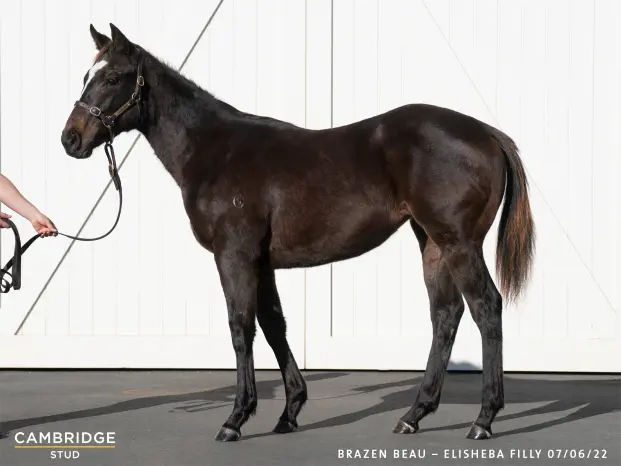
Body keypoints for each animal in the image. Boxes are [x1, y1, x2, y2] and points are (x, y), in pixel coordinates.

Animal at [61, 23, 535, 442]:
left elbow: (241, 328)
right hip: (432, 242)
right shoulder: (262, 262)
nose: (71, 139)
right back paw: (414, 415)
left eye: (112, 77)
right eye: (86, 76)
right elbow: (274, 325)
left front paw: (235, 419)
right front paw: (289, 411)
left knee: (485, 308)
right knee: (446, 315)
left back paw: (483, 419)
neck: (216, 151)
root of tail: (488, 133)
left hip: (459, 243)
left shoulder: (234, 256)